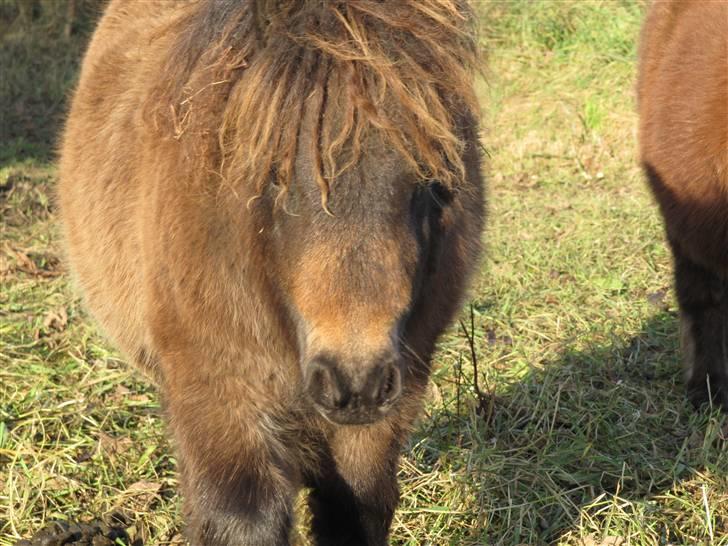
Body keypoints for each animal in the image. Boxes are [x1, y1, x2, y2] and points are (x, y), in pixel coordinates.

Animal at [59, 0, 486, 540]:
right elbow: (240, 519)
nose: (356, 383)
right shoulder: (223, 404)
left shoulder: (380, 420)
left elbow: (356, 509)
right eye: (274, 174)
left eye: (430, 176)